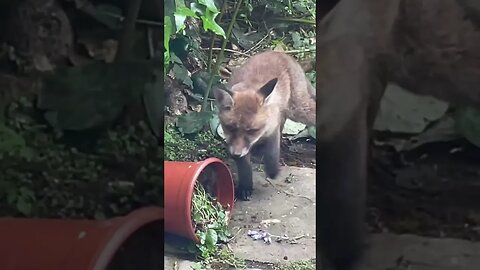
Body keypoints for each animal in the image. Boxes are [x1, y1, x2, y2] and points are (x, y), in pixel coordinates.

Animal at [212, 50, 316, 199]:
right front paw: (245, 187)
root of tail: (280, 53)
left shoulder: (273, 126)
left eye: (252, 130)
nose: (236, 154)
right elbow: (244, 166)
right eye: (230, 128)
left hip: (299, 110)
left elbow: (272, 152)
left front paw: (272, 171)